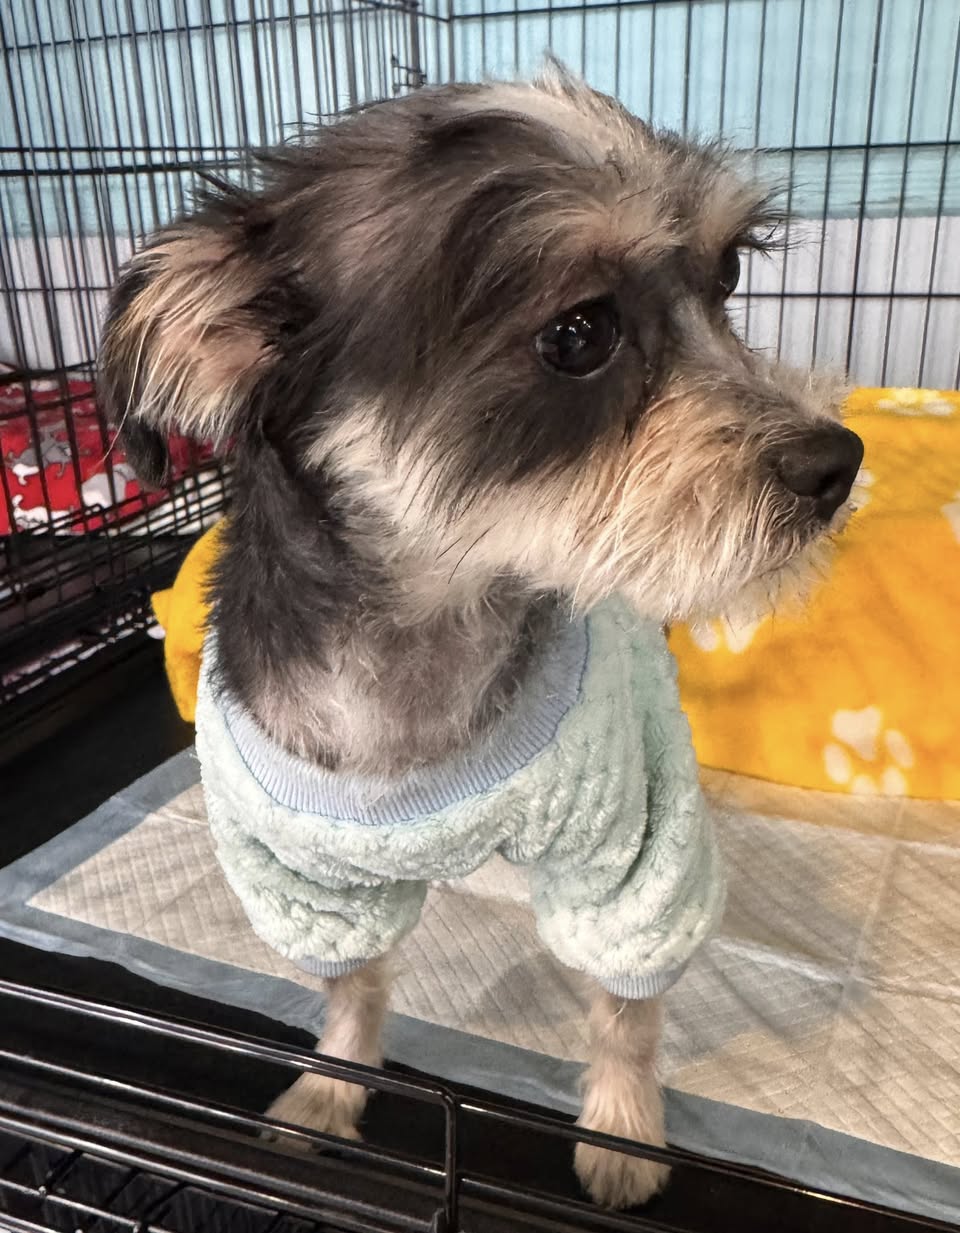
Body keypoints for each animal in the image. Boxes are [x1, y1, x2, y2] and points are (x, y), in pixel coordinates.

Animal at [98, 64, 863, 1209]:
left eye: (728, 274)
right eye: (579, 334)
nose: (838, 460)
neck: (429, 629)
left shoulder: (630, 852)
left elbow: (627, 1009)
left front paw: (624, 1133)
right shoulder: (306, 884)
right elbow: (351, 996)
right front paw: (328, 1099)